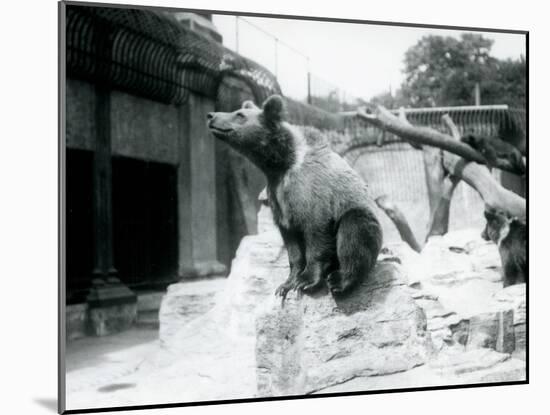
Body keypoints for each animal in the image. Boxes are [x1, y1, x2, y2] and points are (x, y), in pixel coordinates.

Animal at [207, 95, 384, 300]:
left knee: (354, 231)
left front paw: (306, 281)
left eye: (239, 115)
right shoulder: (278, 198)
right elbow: (291, 244)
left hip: (361, 214)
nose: (211, 115)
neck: (281, 164)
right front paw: (286, 284)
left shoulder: (310, 192)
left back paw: (340, 280)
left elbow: (316, 232)